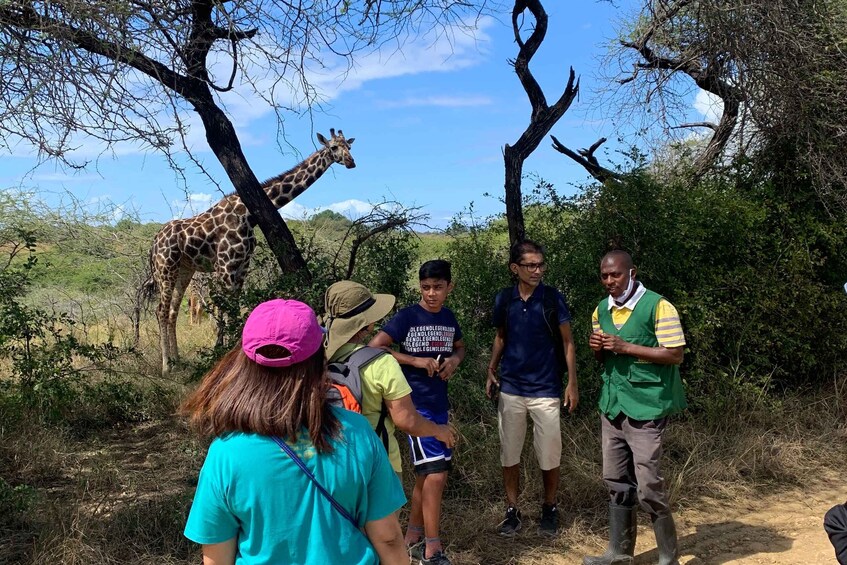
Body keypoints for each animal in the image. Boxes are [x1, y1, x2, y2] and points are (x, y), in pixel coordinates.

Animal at [146, 129, 354, 372]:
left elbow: (233, 308)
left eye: (349, 147)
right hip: (166, 268)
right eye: (334, 147)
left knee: (172, 311)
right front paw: (220, 351)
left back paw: (177, 360)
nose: (351, 162)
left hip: (184, 270)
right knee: (161, 310)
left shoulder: (242, 265)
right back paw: (166, 366)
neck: (248, 214)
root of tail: (153, 243)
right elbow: (225, 309)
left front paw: (229, 350)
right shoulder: (225, 266)